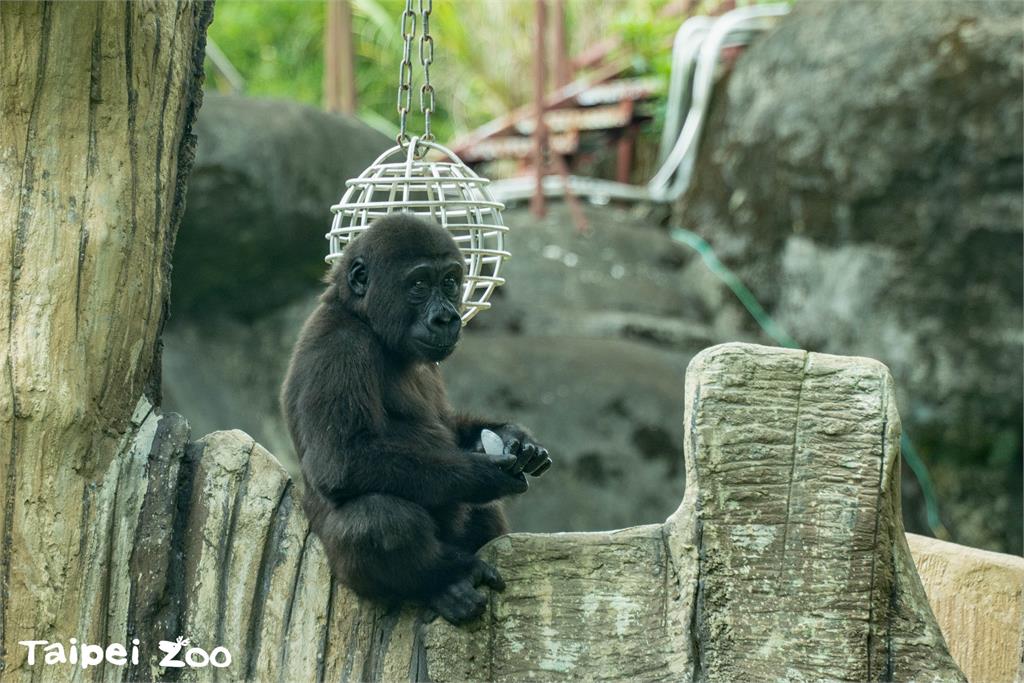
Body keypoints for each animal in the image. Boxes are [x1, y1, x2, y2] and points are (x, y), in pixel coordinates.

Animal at [280, 214, 552, 626]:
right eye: (420, 285)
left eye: (451, 282)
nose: (446, 318)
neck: (360, 316)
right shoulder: (339, 348)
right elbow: (341, 460)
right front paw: (485, 474)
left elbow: (450, 426)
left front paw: (513, 438)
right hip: (343, 573)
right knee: (377, 519)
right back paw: (445, 580)